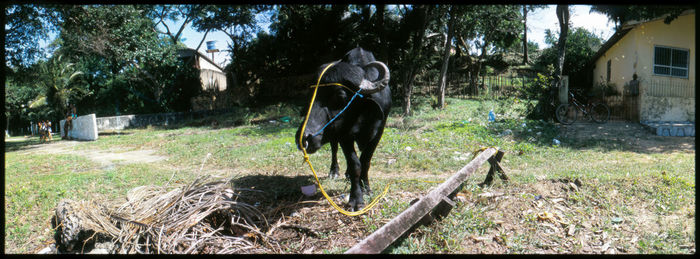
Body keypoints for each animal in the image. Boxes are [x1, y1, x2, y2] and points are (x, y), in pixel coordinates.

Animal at [296, 47, 392, 212]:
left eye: (340, 95)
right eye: (310, 96)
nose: (303, 138)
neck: (362, 115)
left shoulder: (379, 132)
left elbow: (365, 161)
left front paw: (366, 188)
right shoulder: (344, 136)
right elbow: (355, 165)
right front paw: (356, 199)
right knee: (334, 150)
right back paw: (334, 172)